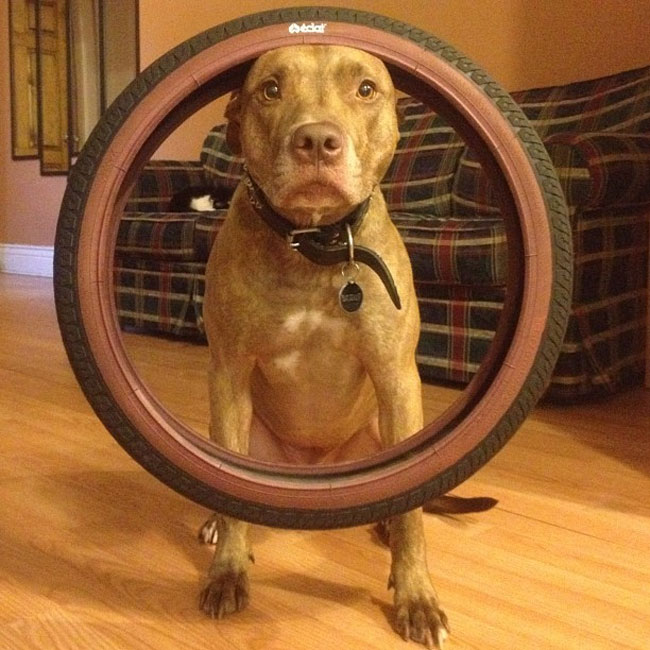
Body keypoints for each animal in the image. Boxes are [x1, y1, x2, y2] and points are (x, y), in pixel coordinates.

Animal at [200, 43, 448, 644]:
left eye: (365, 88)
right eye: (270, 89)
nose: (316, 140)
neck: (314, 246)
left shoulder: (397, 378)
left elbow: (412, 514)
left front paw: (416, 595)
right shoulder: (229, 372)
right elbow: (228, 492)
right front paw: (227, 571)